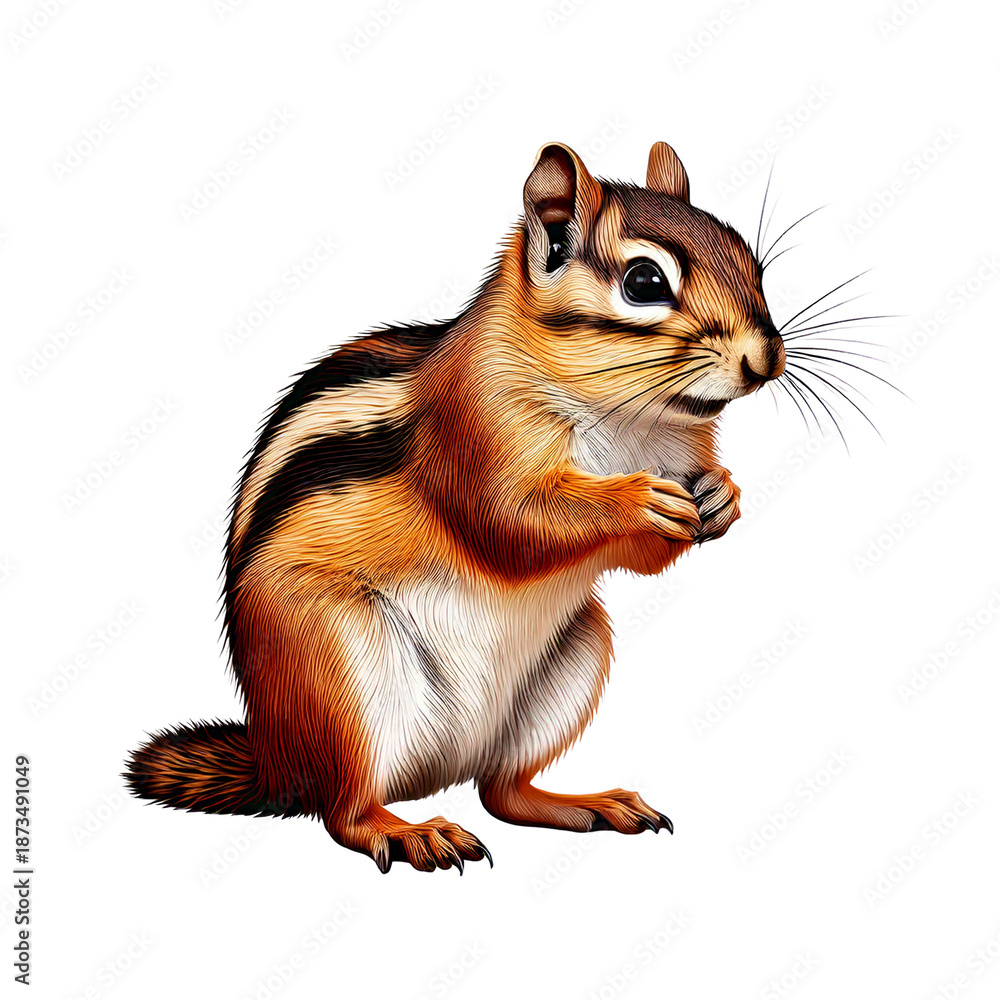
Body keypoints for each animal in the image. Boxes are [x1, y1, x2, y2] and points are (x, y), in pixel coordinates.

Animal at [125, 141, 786, 873]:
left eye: (751, 263)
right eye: (645, 282)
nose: (765, 358)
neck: (634, 421)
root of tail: (276, 762)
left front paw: (721, 494)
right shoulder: (471, 435)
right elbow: (508, 523)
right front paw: (637, 498)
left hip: (575, 657)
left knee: (501, 791)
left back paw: (587, 805)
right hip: (335, 668)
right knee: (343, 810)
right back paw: (405, 831)